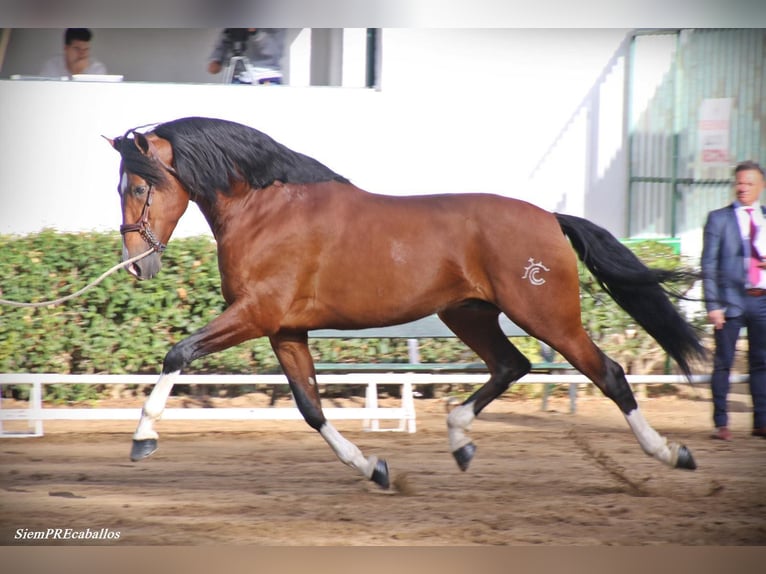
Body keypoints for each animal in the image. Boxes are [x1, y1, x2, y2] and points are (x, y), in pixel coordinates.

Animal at [108, 116, 704, 489]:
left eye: (137, 187)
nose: (137, 264)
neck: (267, 209)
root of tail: (550, 218)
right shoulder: (285, 330)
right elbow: (311, 408)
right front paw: (373, 467)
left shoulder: (256, 315)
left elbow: (178, 354)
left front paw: (142, 438)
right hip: (466, 313)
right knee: (511, 365)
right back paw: (460, 439)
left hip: (547, 316)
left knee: (609, 373)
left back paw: (672, 453)